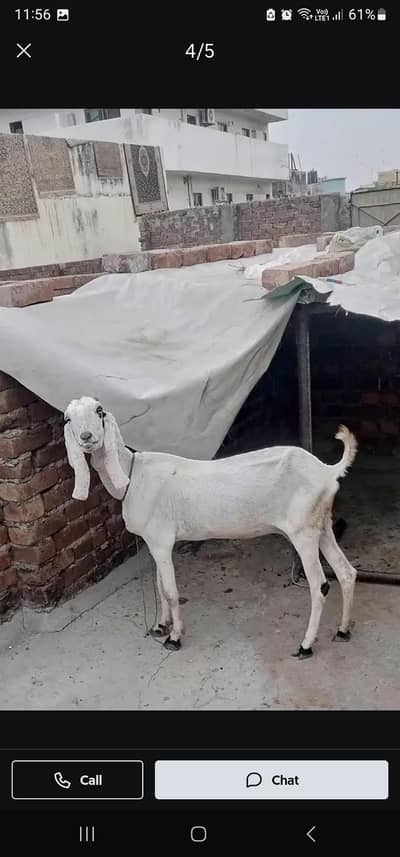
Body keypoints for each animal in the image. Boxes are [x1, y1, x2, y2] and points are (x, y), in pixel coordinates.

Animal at [64, 396, 358, 658]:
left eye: (99, 410)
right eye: (68, 418)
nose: (87, 436)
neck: (132, 475)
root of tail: (327, 471)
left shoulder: (161, 541)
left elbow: (170, 592)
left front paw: (174, 638)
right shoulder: (154, 542)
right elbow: (159, 586)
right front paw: (160, 625)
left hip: (302, 532)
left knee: (319, 586)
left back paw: (306, 645)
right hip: (321, 525)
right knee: (346, 572)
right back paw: (343, 630)